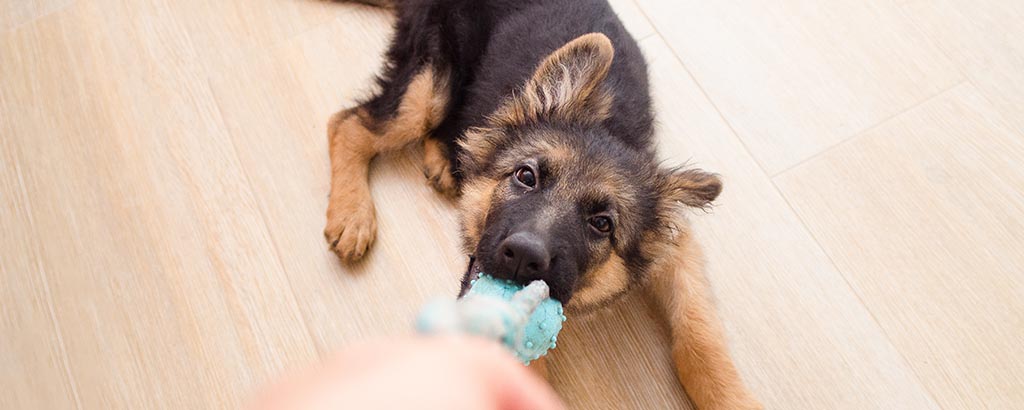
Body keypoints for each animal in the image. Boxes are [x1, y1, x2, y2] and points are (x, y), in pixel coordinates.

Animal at [325, 0, 761, 405]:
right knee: (351, 123)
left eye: (602, 223)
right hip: (431, 83)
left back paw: (445, 161)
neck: (610, 128)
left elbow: (698, 335)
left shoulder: (676, 247)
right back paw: (352, 213)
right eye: (526, 176)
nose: (522, 256)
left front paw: (731, 398)